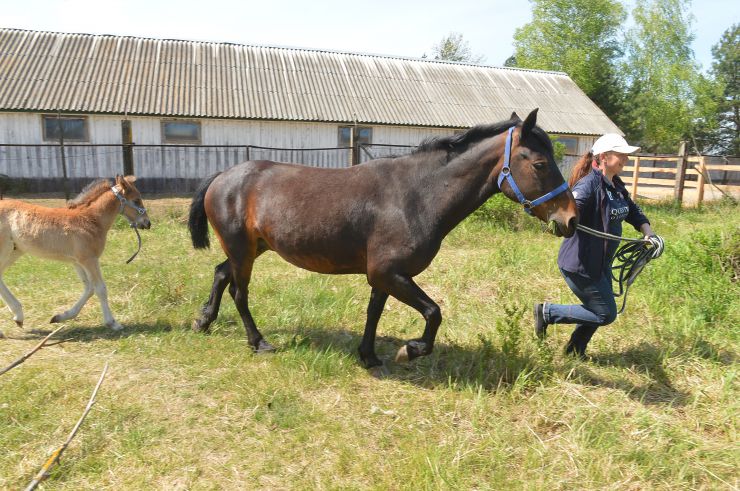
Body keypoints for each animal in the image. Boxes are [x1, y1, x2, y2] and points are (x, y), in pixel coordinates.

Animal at [186, 109, 580, 368]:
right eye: (540, 164)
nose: (571, 219)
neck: (416, 194)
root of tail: (223, 175)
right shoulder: (389, 273)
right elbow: (434, 313)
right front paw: (411, 349)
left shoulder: (384, 274)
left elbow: (374, 311)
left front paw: (369, 355)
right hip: (243, 250)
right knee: (239, 292)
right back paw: (258, 342)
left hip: (252, 247)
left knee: (221, 274)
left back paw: (204, 322)